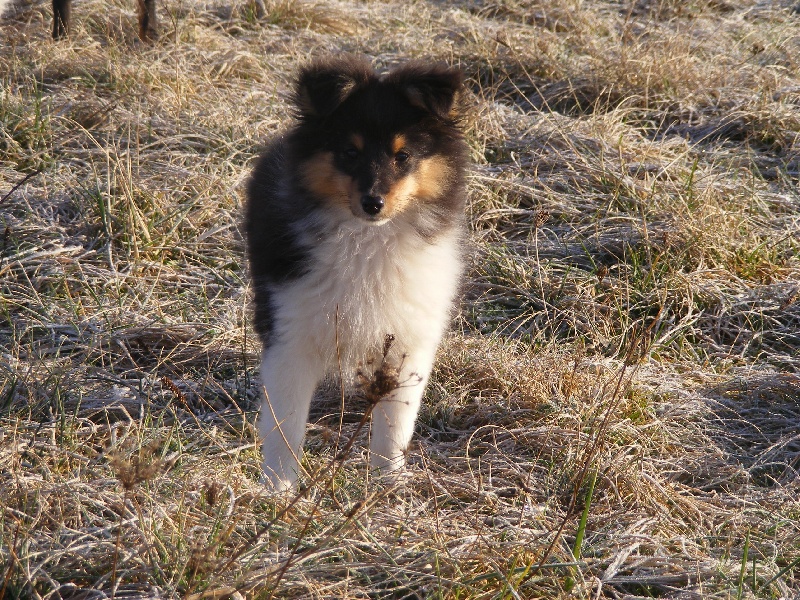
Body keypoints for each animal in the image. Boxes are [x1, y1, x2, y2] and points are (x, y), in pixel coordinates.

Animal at [244, 54, 468, 490]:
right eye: (349, 151)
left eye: (403, 156)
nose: (373, 203)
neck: (367, 242)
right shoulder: (291, 333)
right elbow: (286, 423)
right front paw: (278, 489)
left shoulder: (408, 340)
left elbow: (395, 423)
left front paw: (387, 483)